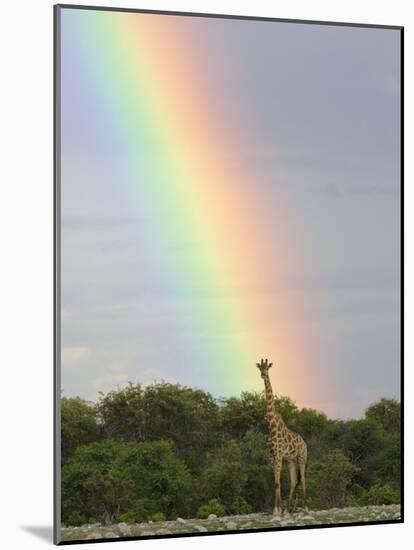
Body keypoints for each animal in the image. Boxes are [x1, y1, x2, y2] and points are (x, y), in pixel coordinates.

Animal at [258, 360, 308, 516]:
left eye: (267, 368)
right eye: (259, 368)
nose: (263, 374)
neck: (271, 426)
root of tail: (305, 443)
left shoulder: (279, 455)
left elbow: (277, 482)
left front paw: (276, 510)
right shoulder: (272, 456)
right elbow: (276, 482)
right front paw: (277, 509)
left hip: (302, 457)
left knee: (303, 479)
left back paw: (306, 508)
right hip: (291, 460)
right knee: (293, 481)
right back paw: (287, 510)